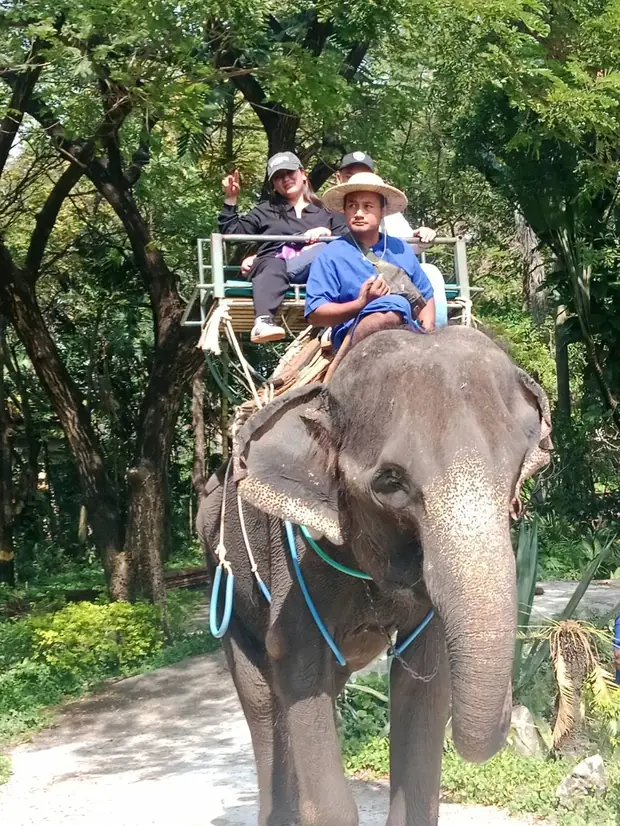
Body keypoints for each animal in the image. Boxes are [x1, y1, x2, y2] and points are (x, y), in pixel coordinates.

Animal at [196, 325, 552, 826]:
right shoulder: (291, 563)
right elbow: (295, 662)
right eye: (390, 482)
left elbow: (421, 684)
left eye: (516, 468)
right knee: (264, 699)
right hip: (224, 580)